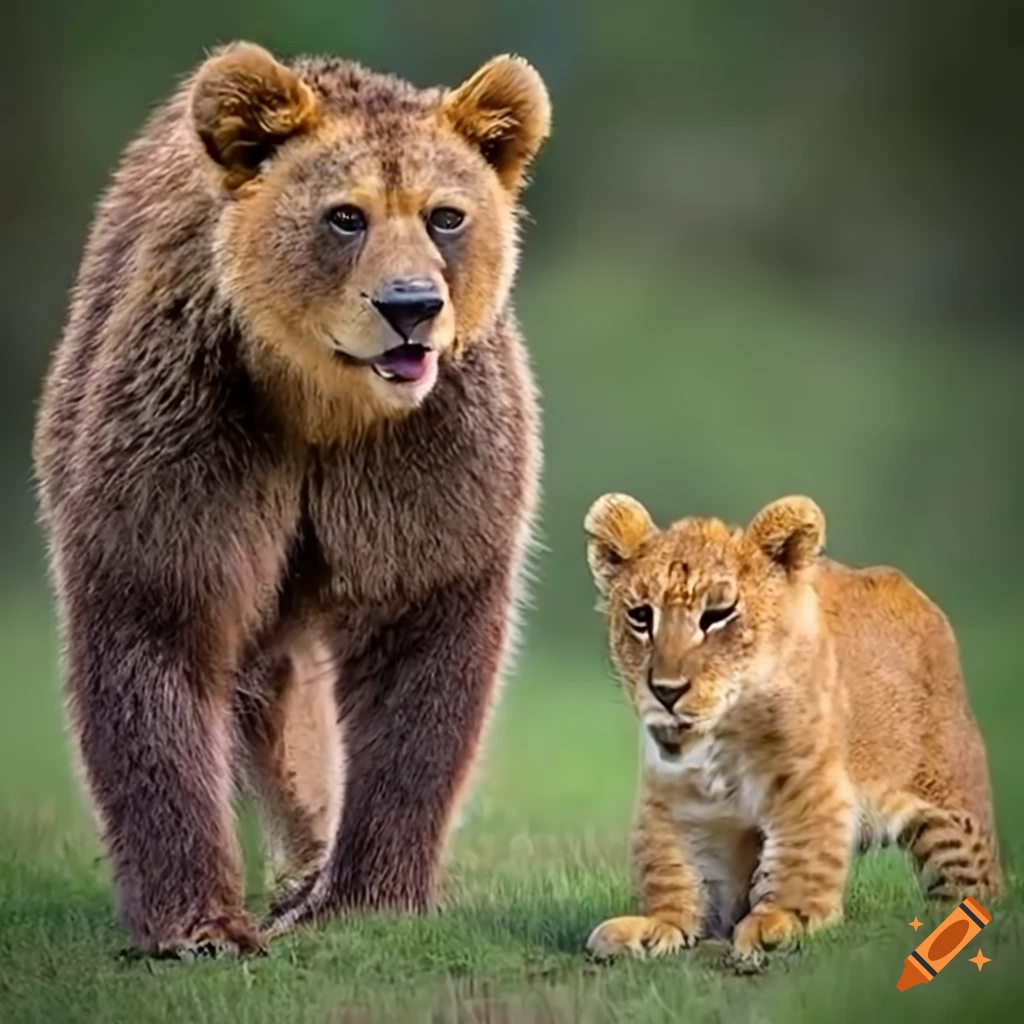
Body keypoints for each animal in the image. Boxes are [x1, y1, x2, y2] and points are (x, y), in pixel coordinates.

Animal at [31, 40, 551, 956]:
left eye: (445, 215)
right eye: (345, 216)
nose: (411, 307)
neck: (319, 402)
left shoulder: (426, 459)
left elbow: (421, 639)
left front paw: (365, 895)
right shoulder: (192, 430)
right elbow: (159, 620)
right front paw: (199, 922)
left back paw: (308, 871)